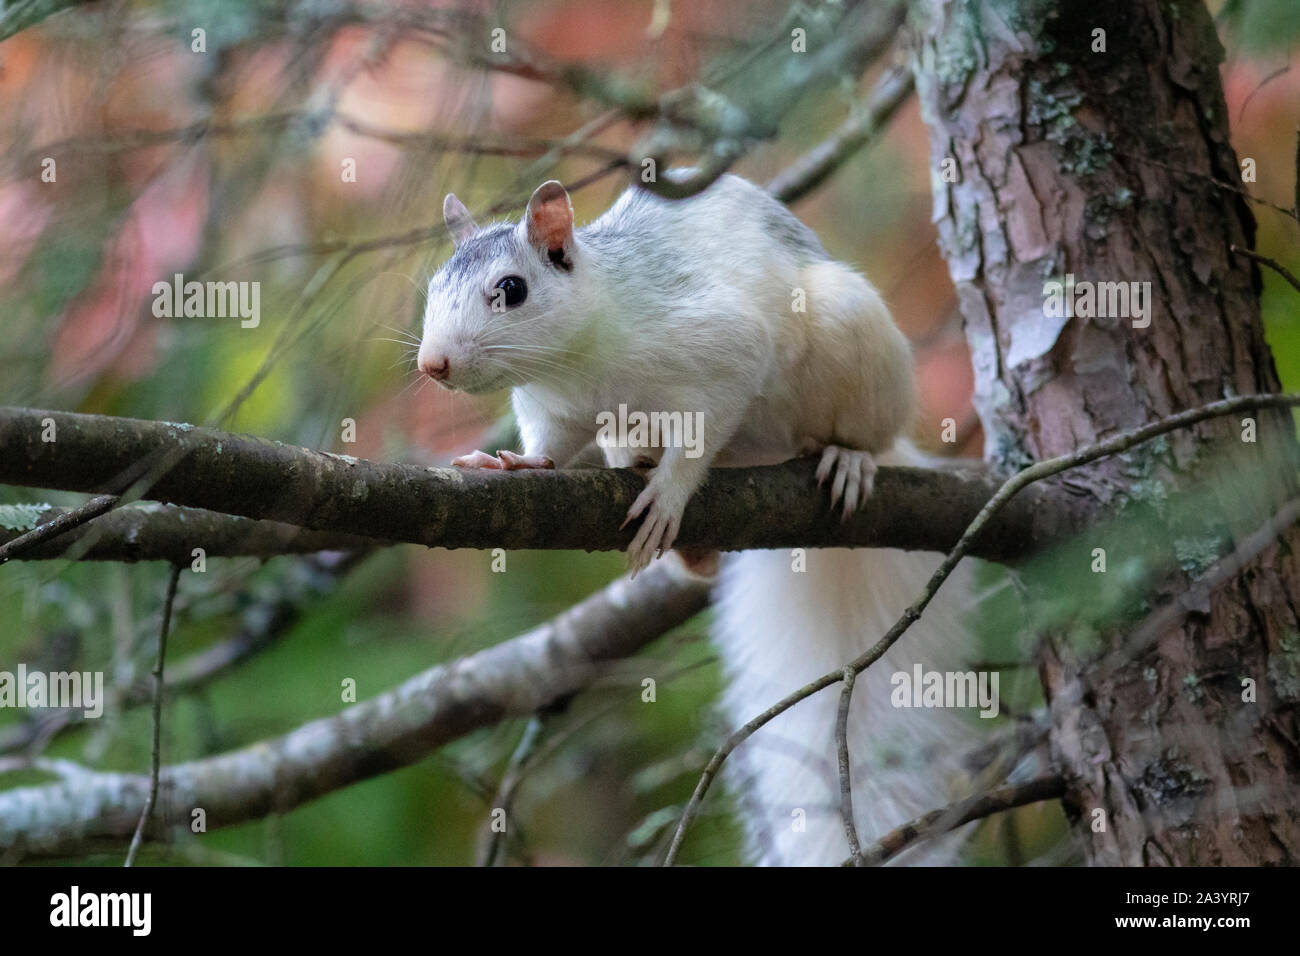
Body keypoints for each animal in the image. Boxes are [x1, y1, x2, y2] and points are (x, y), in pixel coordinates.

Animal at [416, 174, 977, 868]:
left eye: (512, 289)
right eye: (433, 288)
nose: (432, 364)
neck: (576, 364)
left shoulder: (718, 350)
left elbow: (702, 431)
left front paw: (669, 494)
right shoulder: (557, 411)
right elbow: (552, 445)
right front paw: (520, 462)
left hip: (853, 340)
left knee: (865, 432)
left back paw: (847, 457)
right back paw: (688, 537)